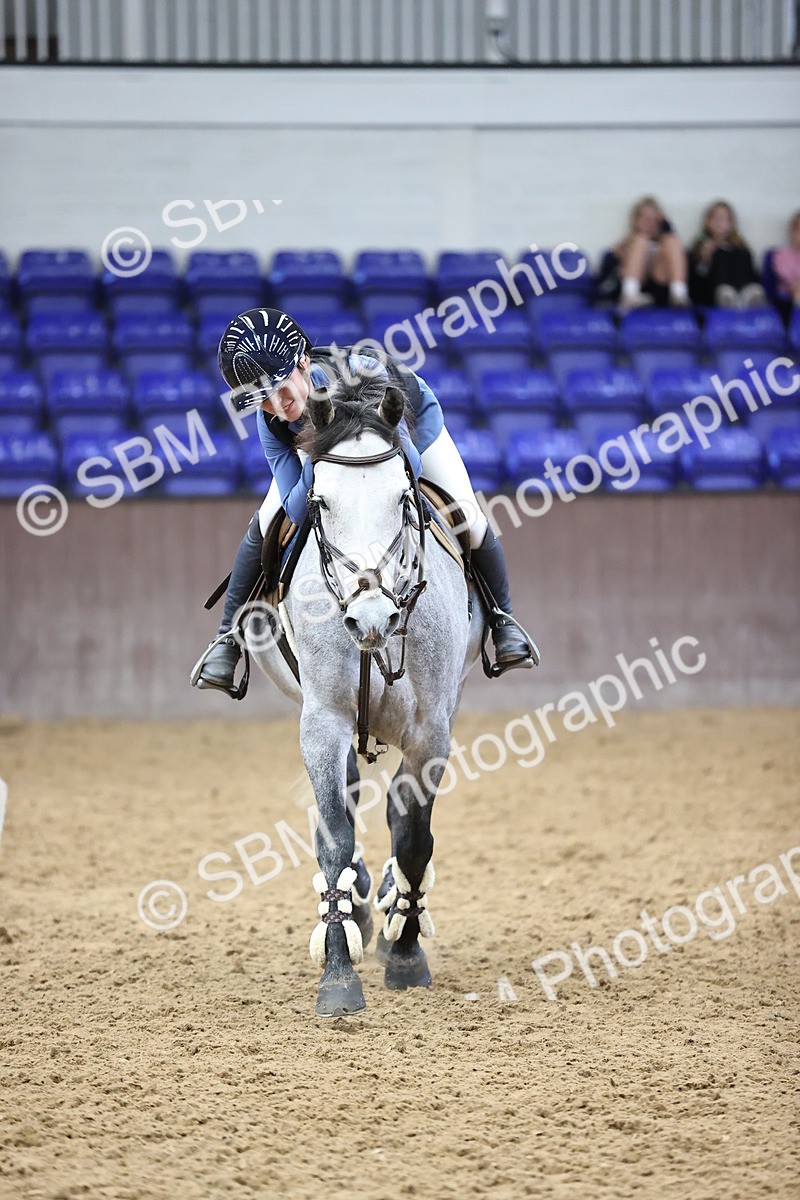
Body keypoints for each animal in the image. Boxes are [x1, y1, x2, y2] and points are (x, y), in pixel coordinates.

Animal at [249, 368, 484, 1017]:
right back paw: (354, 906)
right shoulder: (322, 722)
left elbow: (413, 837)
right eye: (320, 503)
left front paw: (404, 951)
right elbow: (334, 833)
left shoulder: (430, 732)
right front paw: (338, 972)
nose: (372, 617)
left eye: (402, 499)